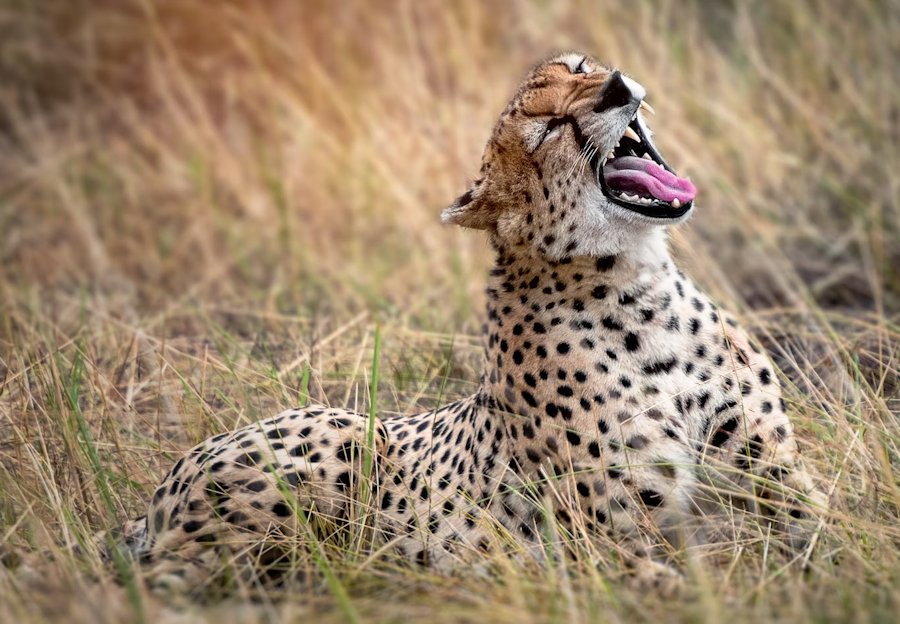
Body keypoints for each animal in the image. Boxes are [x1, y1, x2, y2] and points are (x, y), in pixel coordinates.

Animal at [102, 52, 828, 588]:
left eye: (581, 65)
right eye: (549, 129)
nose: (618, 86)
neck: (640, 289)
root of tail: (159, 495)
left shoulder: (768, 467)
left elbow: (823, 522)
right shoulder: (615, 542)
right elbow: (680, 581)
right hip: (335, 443)